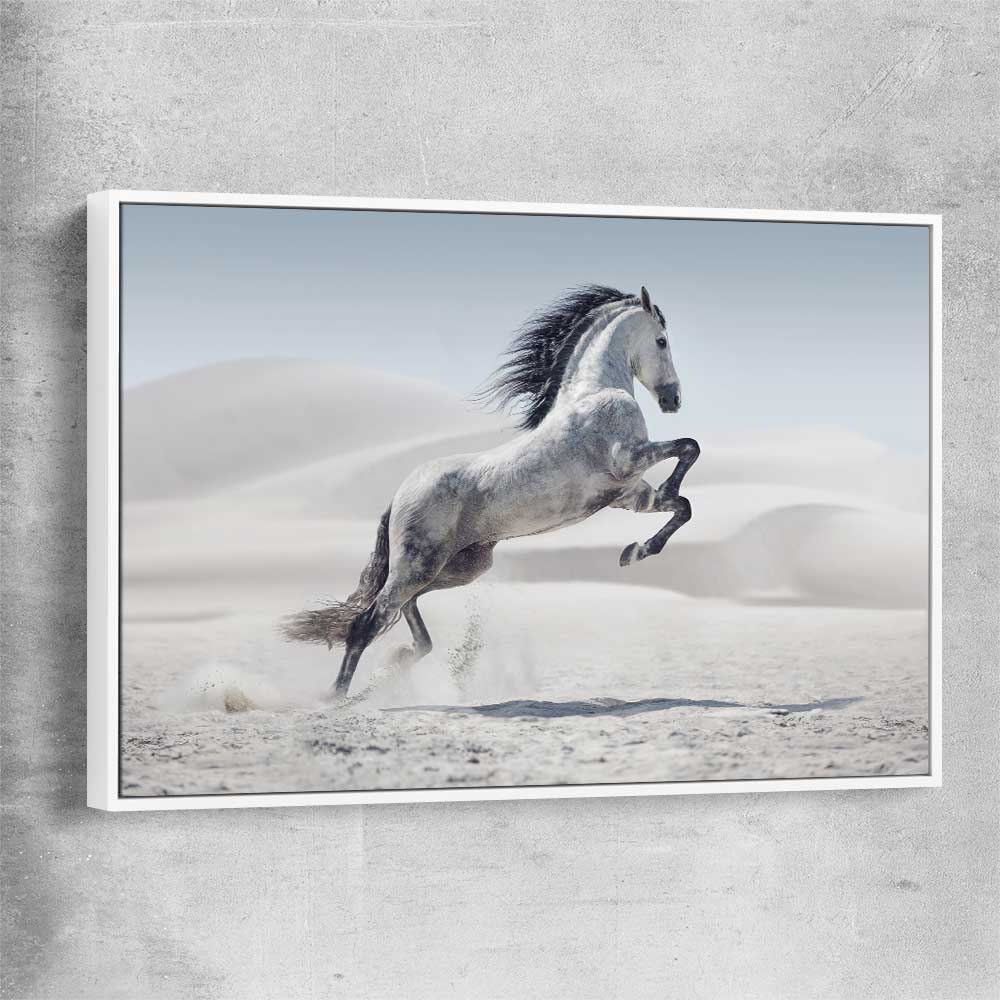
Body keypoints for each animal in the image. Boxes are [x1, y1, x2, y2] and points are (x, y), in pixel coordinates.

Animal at [280, 284, 700, 699]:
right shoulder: (628, 460)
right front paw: (648, 527)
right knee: (368, 621)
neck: (594, 393)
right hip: (419, 565)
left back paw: (394, 667)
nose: (674, 400)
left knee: (405, 611)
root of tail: (399, 495)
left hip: (461, 566)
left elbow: (682, 505)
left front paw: (635, 551)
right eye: (662, 341)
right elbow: (689, 447)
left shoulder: (628, 494)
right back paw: (338, 696)